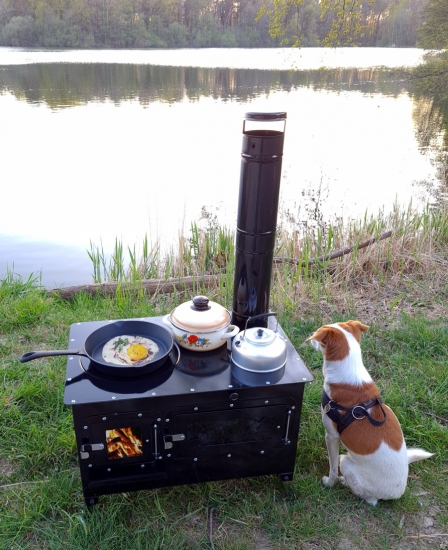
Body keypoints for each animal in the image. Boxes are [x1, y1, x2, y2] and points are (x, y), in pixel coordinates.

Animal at [306, 324, 432, 508]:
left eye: (319, 333)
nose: (310, 335)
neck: (349, 371)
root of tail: (397, 493)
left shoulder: (331, 436)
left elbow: (332, 468)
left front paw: (329, 483)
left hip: (347, 464)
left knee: (369, 498)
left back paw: (344, 482)